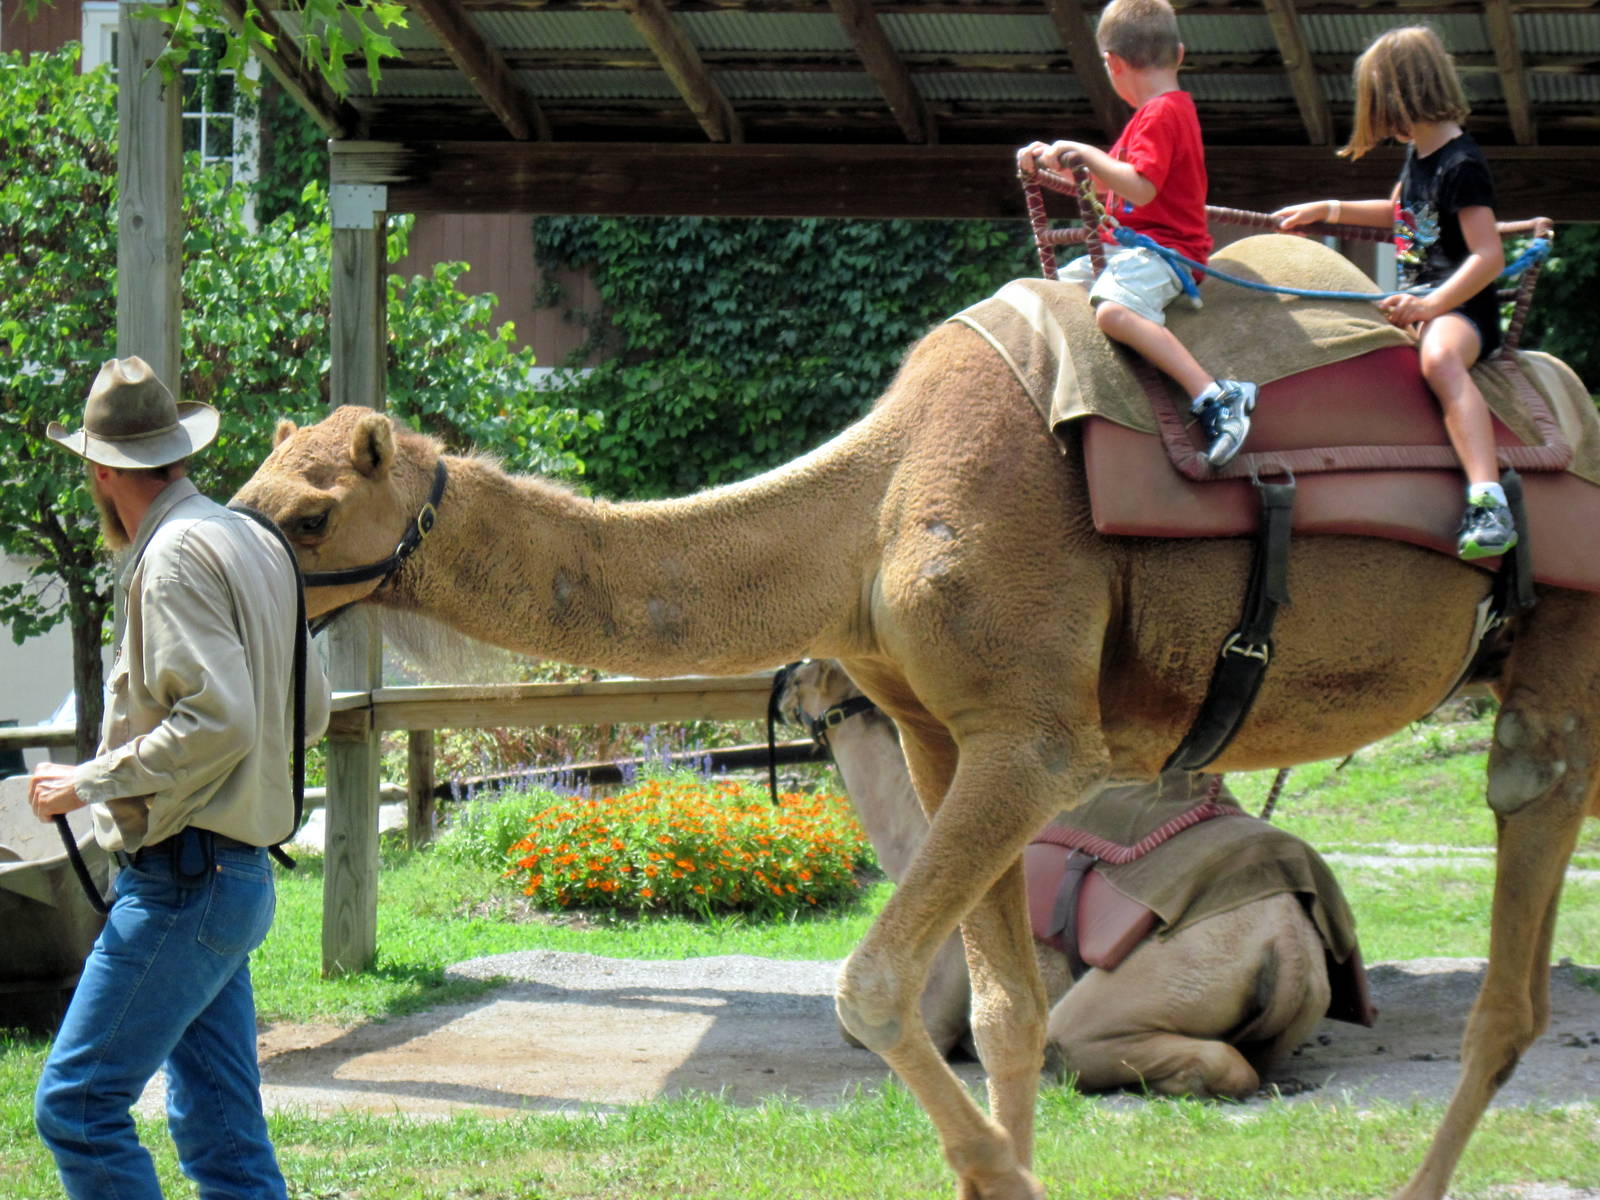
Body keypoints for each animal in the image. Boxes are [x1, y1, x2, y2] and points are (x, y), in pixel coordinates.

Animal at [777, 658, 1340, 1098]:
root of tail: (1292, 948)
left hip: (1180, 966)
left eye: (804, 674)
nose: (779, 686)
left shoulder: (943, 986)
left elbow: (870, 1030)